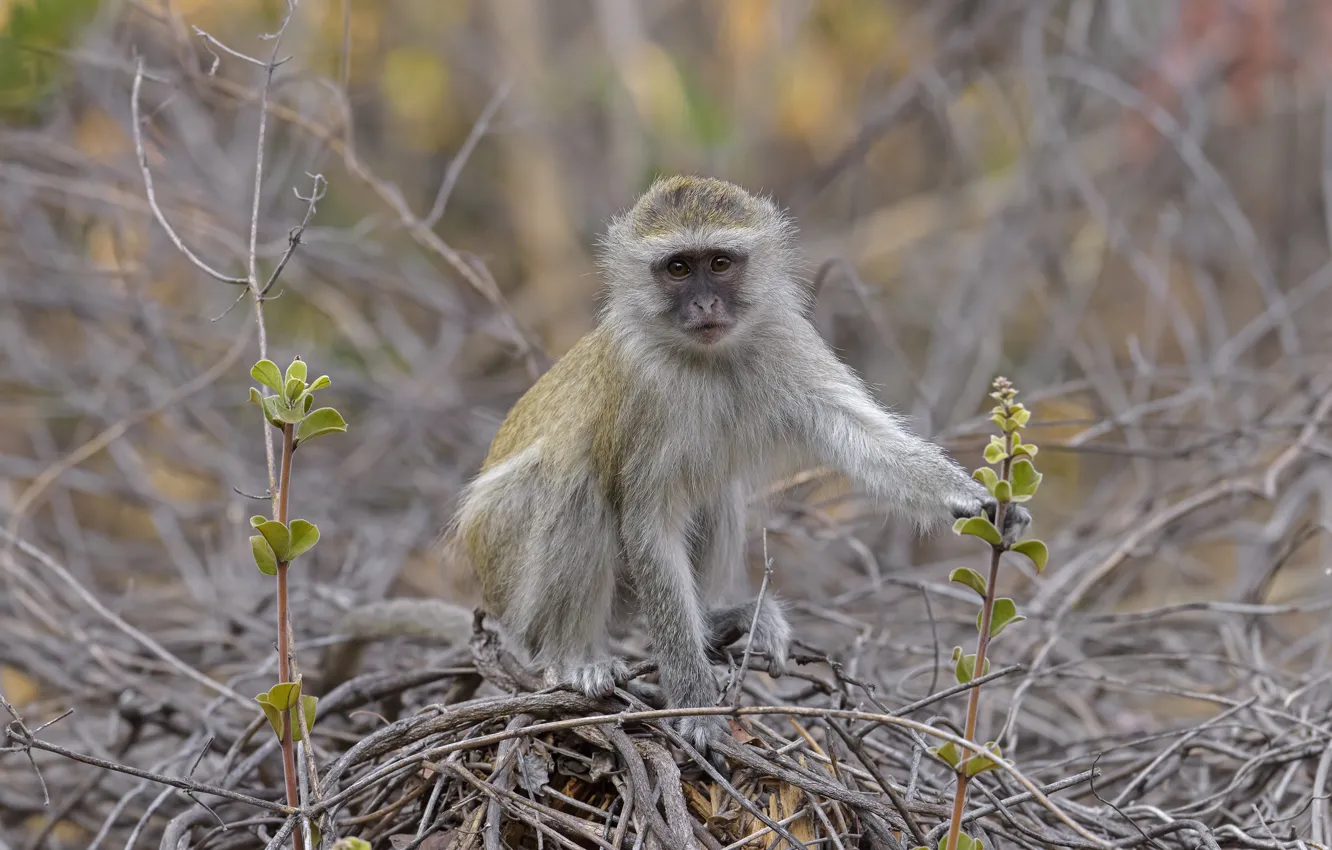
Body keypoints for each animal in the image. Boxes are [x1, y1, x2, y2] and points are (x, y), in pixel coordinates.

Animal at [319, 175, 1031, 755]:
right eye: (678, 269)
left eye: (720, 263)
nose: (706, 307)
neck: (705, 359)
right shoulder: (645, 387)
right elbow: (646, 522)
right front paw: (692, 701)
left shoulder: (783, 337)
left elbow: (857, 433)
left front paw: (972, 499)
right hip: (503, 569)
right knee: (574, 486)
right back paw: (569, 658)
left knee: (718, 491)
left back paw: (716, 621)